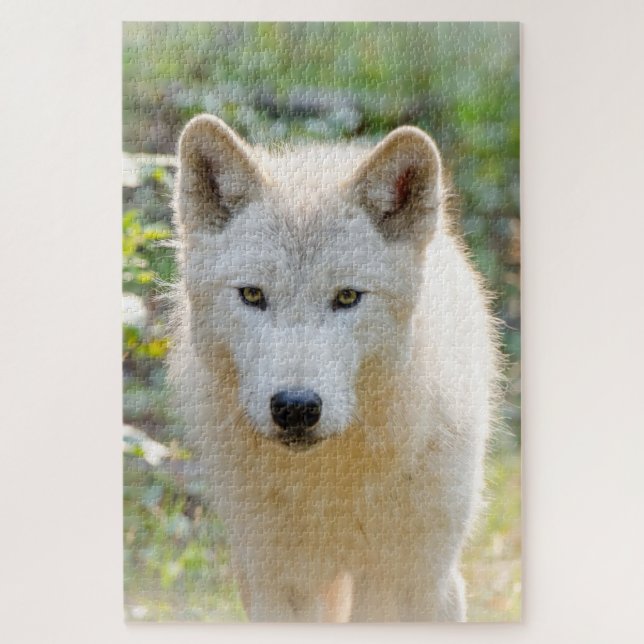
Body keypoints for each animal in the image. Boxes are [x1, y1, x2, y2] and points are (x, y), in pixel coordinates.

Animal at [170, 114, 499, 622]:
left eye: (347, 297)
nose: (295, 408)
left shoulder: (421, 583)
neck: (332, 480)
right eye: (252, 295)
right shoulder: (279, 585)